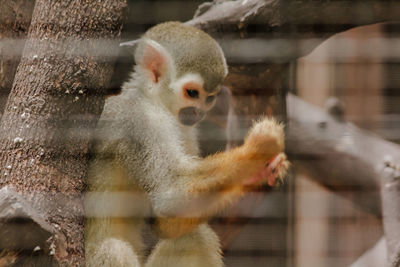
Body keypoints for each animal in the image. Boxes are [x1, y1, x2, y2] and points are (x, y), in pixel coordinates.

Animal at [86, 21, 290, 267]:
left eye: (209, 98)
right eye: (192, 93)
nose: (198, 113)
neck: (154, 101)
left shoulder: (187, 130)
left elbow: (166, 222)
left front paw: (258, 173)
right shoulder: (139, 121)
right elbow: (170, 193)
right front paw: (258, 149)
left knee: (194, 236)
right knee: (113, 249)